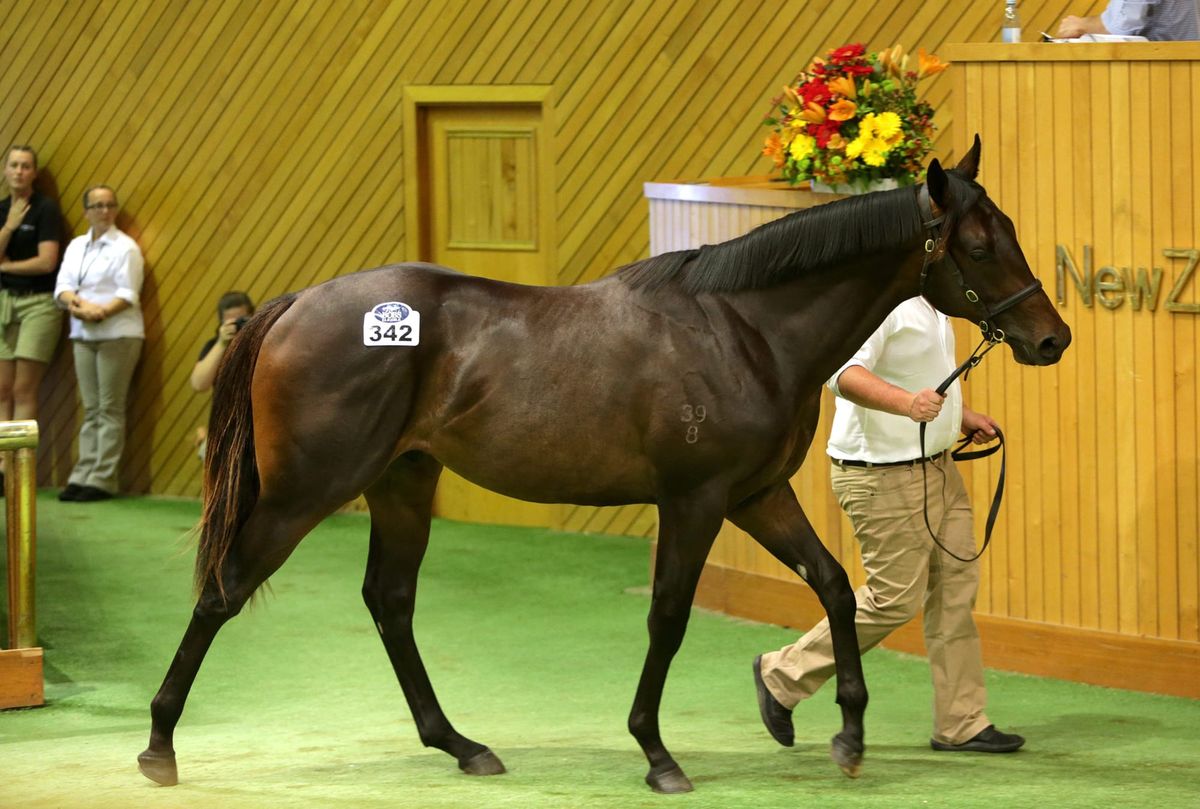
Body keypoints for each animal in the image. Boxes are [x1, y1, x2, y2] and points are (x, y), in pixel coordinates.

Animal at [138, 136, 1070, 794]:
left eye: (1010, 232)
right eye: (978, 244)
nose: (1051, 338)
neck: (745, 328)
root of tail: (297, 304)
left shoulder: (757, 494)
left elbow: (836, 586)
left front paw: (844, 734)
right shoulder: (694, 500)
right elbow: (669, 616)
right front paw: (657, 753)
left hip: (403, 479)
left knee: (390, 601)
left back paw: (462, 744)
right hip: (304, 491)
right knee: (223, 589)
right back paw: (158, 744)